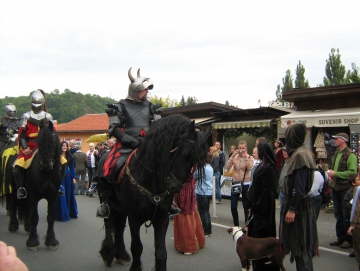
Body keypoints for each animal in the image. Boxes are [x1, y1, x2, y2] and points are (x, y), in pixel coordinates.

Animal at [11, 120, 65, 252]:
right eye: (39, 142)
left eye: (52, 142)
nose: (46, 166)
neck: (47, 174)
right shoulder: (34, 196)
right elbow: (35, 217)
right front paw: (33, 242)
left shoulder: (53, 196)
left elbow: (50, 217)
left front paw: (51, 241)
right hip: (15, 190)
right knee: (14, 204)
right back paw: (13, 226)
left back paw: (28, 227)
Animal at [98, 115, 211, 271]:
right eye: (185, 154)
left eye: (197, 161)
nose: (175, 187)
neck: (150, 178)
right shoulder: (134, 218)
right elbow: (137, 247)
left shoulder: (162, 218)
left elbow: (161, 253)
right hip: (108, 202)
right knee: (109, 222)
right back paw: (108, 254)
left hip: (120, 208)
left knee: (119, 226)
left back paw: (121, 254)